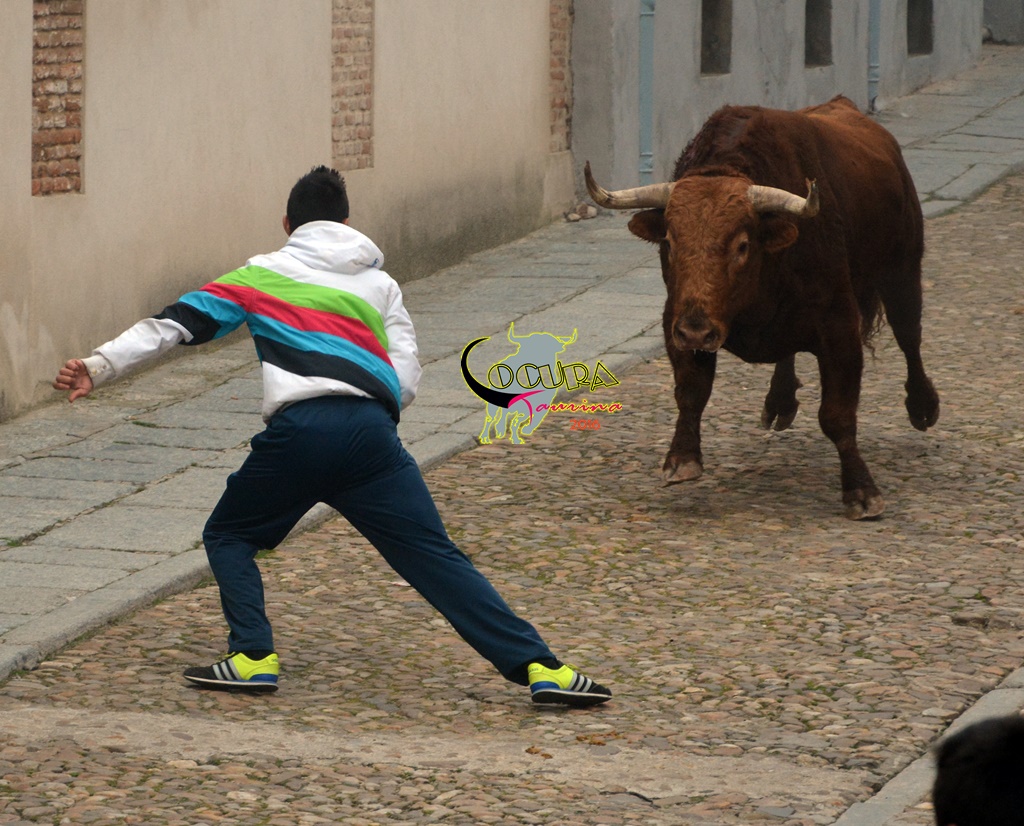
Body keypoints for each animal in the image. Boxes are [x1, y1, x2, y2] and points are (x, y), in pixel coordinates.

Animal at [585, 95, 939, 519]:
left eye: (741, 245)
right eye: (669, 240)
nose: (697, 331)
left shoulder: (839, 329)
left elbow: (837, 415)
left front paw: (861, 491)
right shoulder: (677, 319)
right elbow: (691, 393)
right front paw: (682, 459)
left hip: (902, 272)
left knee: (910, 337)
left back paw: (922, 406)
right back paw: (780, 400)